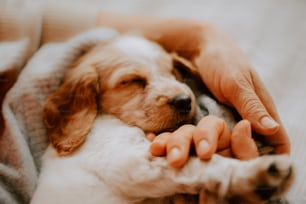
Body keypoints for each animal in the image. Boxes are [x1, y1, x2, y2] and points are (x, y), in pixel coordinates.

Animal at [31, 35, 294, 204]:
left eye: (174, 72)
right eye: (132, 81)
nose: (185, 101)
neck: (104, 118)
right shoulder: (134, 164)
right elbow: (205, 165)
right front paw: (260, 172)